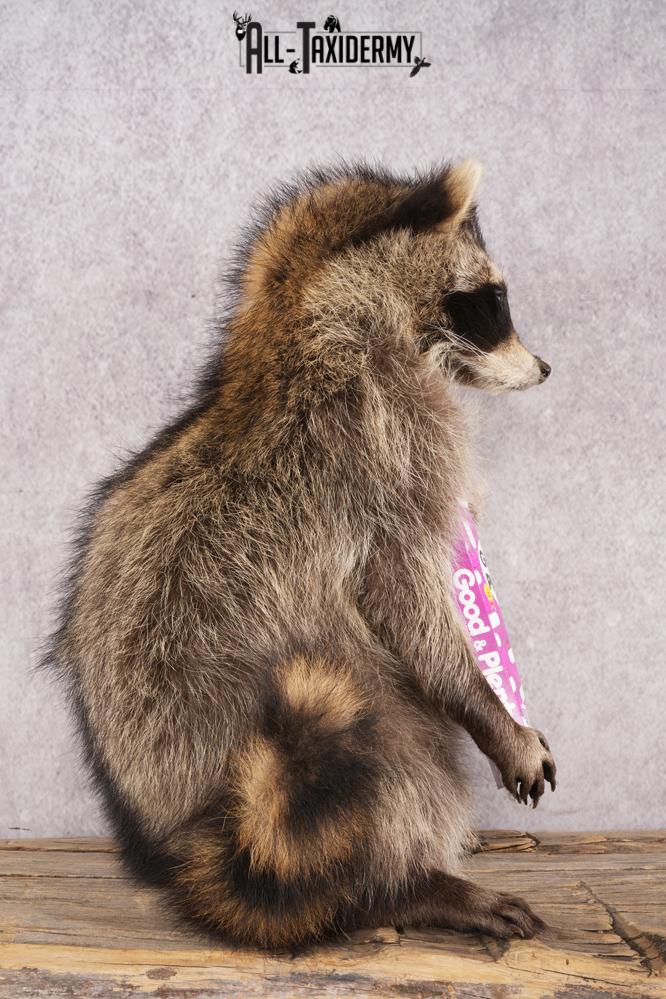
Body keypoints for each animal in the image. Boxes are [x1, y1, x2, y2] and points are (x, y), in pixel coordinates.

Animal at [48, 160, 556, 948]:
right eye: (493, 302)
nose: (545, 368)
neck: (300, 317)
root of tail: (195, 840)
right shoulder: (385, 454)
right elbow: (409, 608)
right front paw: (490, 707)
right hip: (322, 742)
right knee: (403, 756)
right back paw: (398, 884)